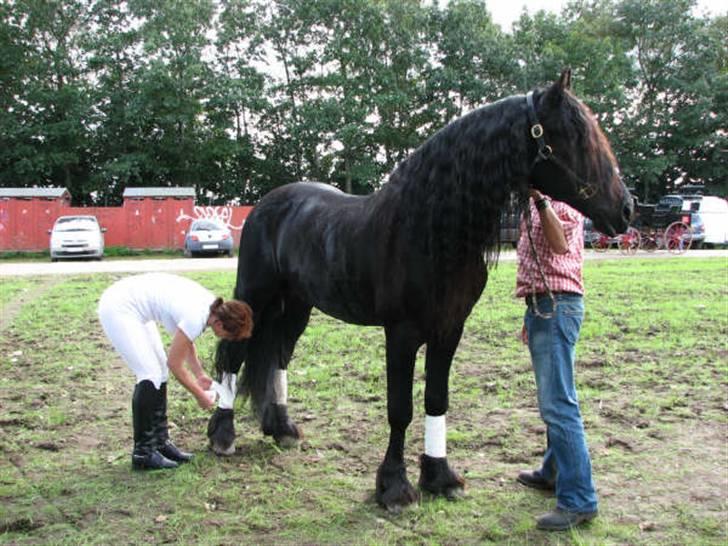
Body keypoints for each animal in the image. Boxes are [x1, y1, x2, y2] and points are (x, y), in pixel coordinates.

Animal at [208, 71, 636, 510]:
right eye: (575, 135)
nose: (626, 209)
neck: (430, 230)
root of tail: (267, 205)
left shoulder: (449, 330)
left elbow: (436, 399)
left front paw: (439, 476)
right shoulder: (402, 333)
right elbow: (401, 409)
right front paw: (394, 487)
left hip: (296, 305)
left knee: (278, 354)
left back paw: (282, 429)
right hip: (255, 295)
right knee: (233, 356)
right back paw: (222, 435)